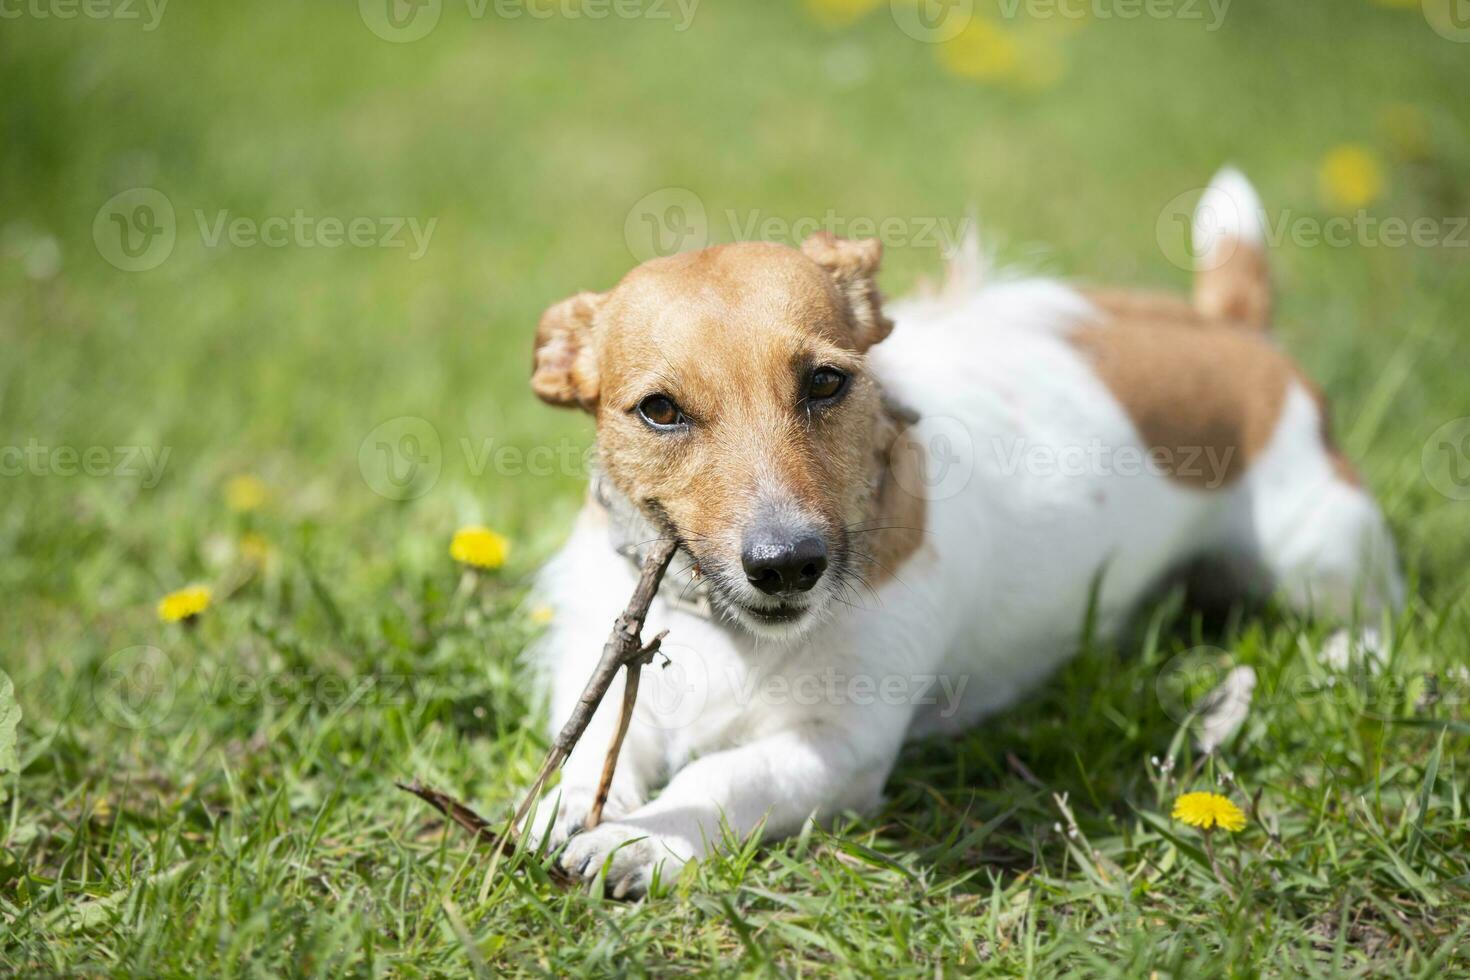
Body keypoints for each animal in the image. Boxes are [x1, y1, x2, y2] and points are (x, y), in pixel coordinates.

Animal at [520, 168, 1399, 899]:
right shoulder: (598, 665)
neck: (723, 631)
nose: (789, 564)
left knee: (1374, 610)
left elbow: (724, 778)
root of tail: (1237, 331)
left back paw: (1347, 657)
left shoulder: (839, 747)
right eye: (659, 410)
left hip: (1314, 544)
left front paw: (639, 840)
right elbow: (593, 749)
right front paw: (565, 806)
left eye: (827, 383)